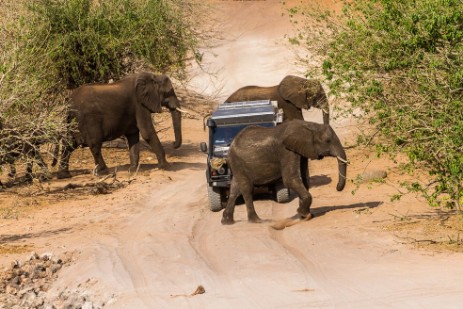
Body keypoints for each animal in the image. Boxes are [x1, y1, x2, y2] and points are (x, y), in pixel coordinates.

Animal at [54, 72, 183, 178]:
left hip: (73, 121)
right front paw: (166, 167)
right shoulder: (139, 105)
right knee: (94, 144)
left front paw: (133, 170)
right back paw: (104, 172)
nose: (173, 143)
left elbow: (133, 136)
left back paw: (64, 175)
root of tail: (69, 103)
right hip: (89, 119)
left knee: (69, 144)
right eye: (168, 92)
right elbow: (147, 132)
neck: (152, 77)